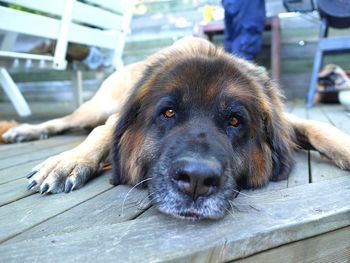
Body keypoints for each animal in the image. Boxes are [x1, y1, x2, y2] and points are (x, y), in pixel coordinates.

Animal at [2, 36, 350, 220]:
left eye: (234, 121)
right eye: (168, 113)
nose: (197, 179)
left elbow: (319, 127)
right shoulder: (114, 120)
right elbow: (102, 133)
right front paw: (68, 162)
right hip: (95, 108)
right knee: (67, 122)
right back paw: (23, 132)